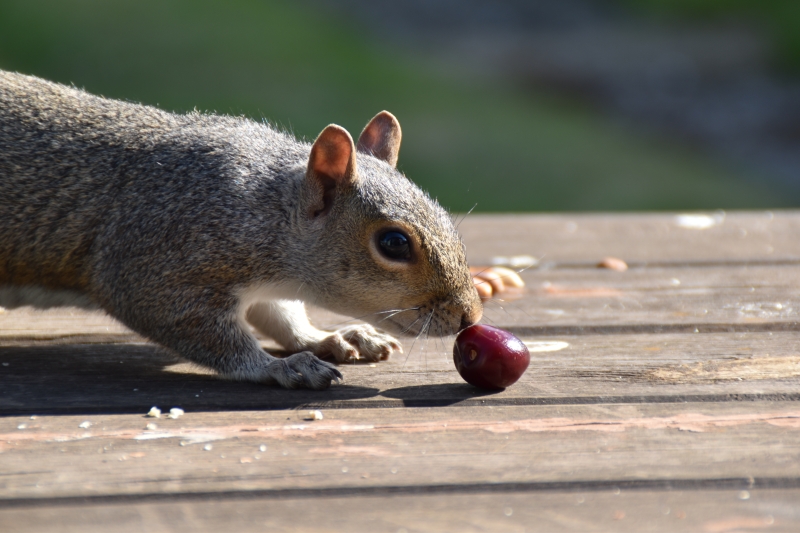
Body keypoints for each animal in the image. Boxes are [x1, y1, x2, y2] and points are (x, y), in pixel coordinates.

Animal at [0, 70, 482, 388]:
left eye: (442, 212)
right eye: (393, 243)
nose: (470, 316)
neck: (266, 211)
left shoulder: (268, 287)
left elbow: (281, 317)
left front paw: (332, 336)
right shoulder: (158, 263)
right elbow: (208, 335)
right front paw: (281, 366)